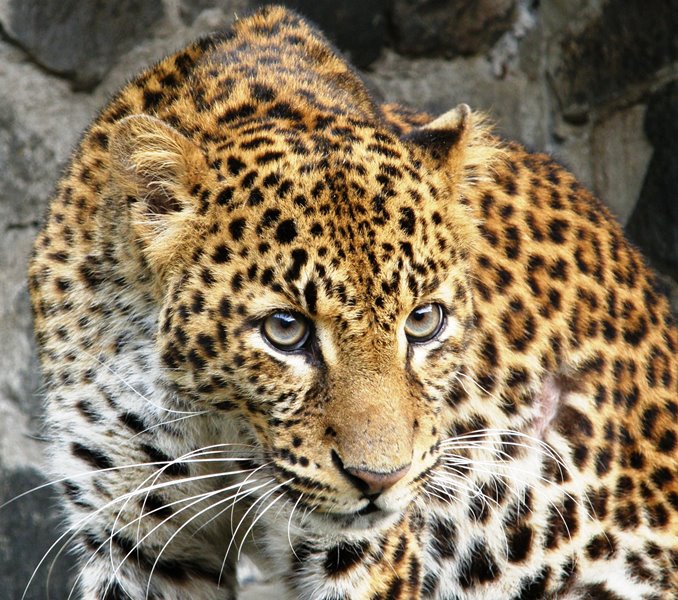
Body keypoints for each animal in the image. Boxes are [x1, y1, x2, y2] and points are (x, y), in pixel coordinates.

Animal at [28, 5, 677, 599]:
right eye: (285, 329)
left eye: (424, 321)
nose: (379, 480)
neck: (212, 426)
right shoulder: (133, 535)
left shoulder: (358, 552)